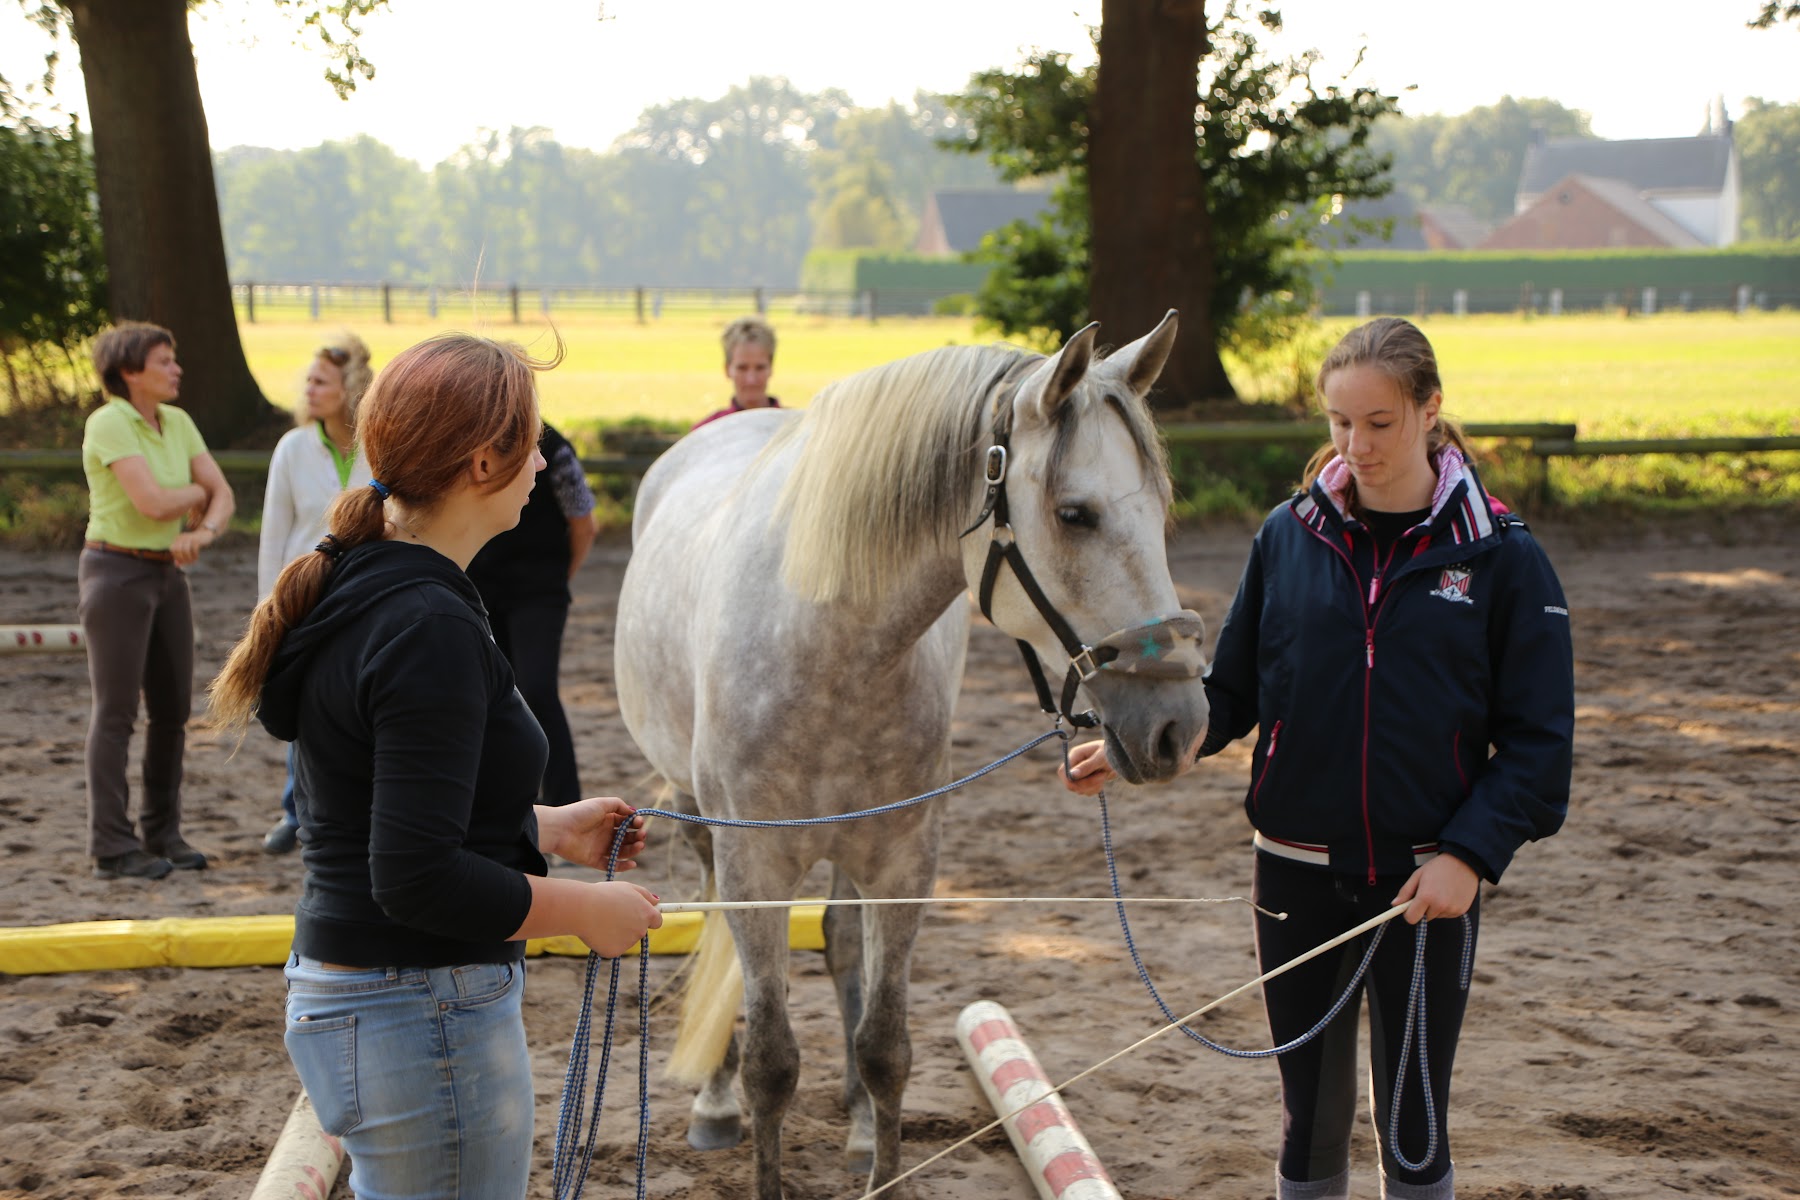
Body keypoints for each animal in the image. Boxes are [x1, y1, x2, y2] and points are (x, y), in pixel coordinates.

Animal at [612, 311, 1210, 1200]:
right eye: (1075, 514)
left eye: (1160, 507)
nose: (1180, 725)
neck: (827, 637)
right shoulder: (756, 866)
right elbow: (771, 1063)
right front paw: (745, 1108)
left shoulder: (902, 861)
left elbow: (886, 1046)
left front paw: (878, 1142)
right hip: (697, 816)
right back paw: (715, 1105)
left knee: (839, 943)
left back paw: (859, 1124)